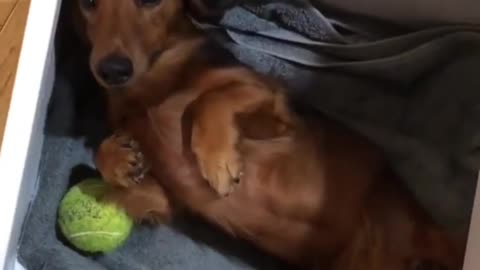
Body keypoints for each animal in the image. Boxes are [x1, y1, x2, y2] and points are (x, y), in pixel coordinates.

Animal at [76, 0, 464, 268]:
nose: (112, 70)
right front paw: (119, 159)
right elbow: (128, 171)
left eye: (149, 1)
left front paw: (219, 162)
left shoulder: (277, 114)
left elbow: (209, 99)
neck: (153, 88)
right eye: (89, 3)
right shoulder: (167, 197)